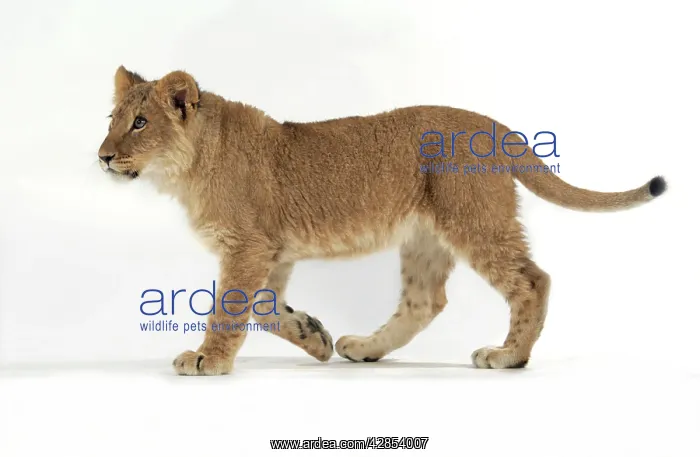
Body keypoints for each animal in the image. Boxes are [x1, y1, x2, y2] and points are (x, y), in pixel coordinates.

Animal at [98, 66, 667, 375]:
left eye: (141, 122)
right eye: (112, 120)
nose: (102, 157)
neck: (188, 167)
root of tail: (492, 124)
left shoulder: (247, 247)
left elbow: (230, 310)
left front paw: (207, 360)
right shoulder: (271, 251)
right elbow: (265, 310)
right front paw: (314, 337)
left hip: (474, 220)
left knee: (533, 280)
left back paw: (509, 356)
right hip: (425, 237)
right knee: (424, 301)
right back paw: (364, 348)